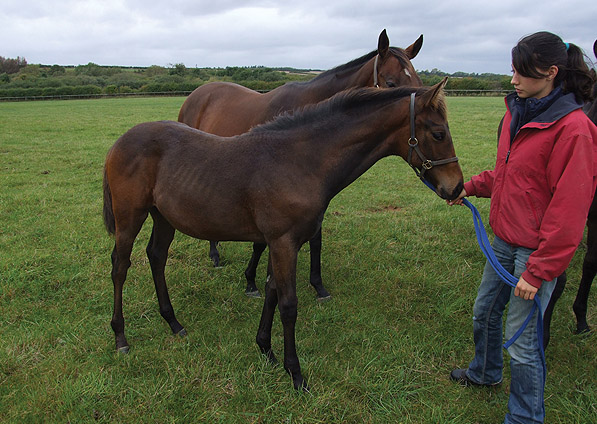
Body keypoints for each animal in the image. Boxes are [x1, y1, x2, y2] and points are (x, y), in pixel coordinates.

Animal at [105, 79, 464, 390]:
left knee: (156, 257)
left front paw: (266, 350)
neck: (300, 160)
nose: (456, 187)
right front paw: (296, 374)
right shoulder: (283, 242)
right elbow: (288, 305)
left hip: (164, 217)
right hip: (130, 217)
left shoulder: (281, 243)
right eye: (438, 133)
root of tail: (118, 142)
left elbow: (271, 291)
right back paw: (121, 338)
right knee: (120, 266)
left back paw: (173, 323)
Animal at [177, 29, 424, 298]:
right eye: (390, 83)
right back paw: (214, 255)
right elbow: (260, 243)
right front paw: (251, 282)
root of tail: (198, 93)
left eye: (419, 81)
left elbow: (316, 240)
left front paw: (318, 285)